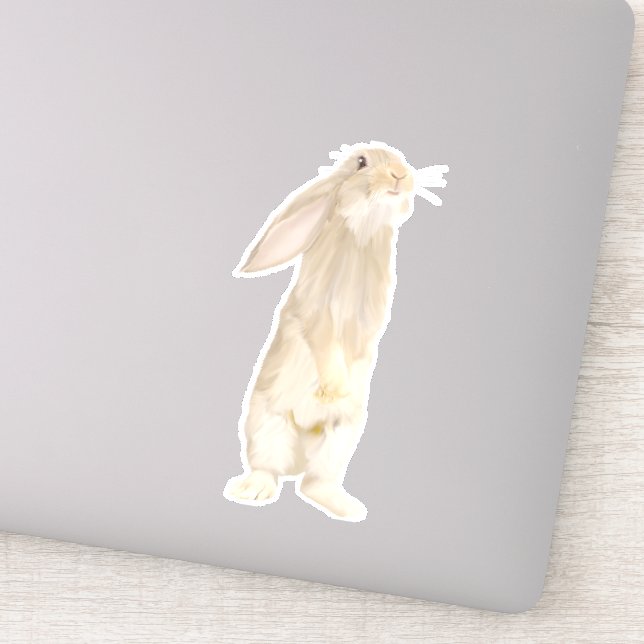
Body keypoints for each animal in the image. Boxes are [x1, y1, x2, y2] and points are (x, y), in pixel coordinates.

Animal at [223, 141, 448, 522]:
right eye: (361, 162)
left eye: (400, 160)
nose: (400, 175)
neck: (363, 233)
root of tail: (297, 462)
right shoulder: (319, 316)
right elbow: (325, 344)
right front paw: (335, 387)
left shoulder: (367, 326)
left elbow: (359, 351)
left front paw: (343, 390)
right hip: (268, 425)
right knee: (269, 468)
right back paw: (251, 491)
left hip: (340, 439)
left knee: (314, 483)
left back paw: (348, 508)